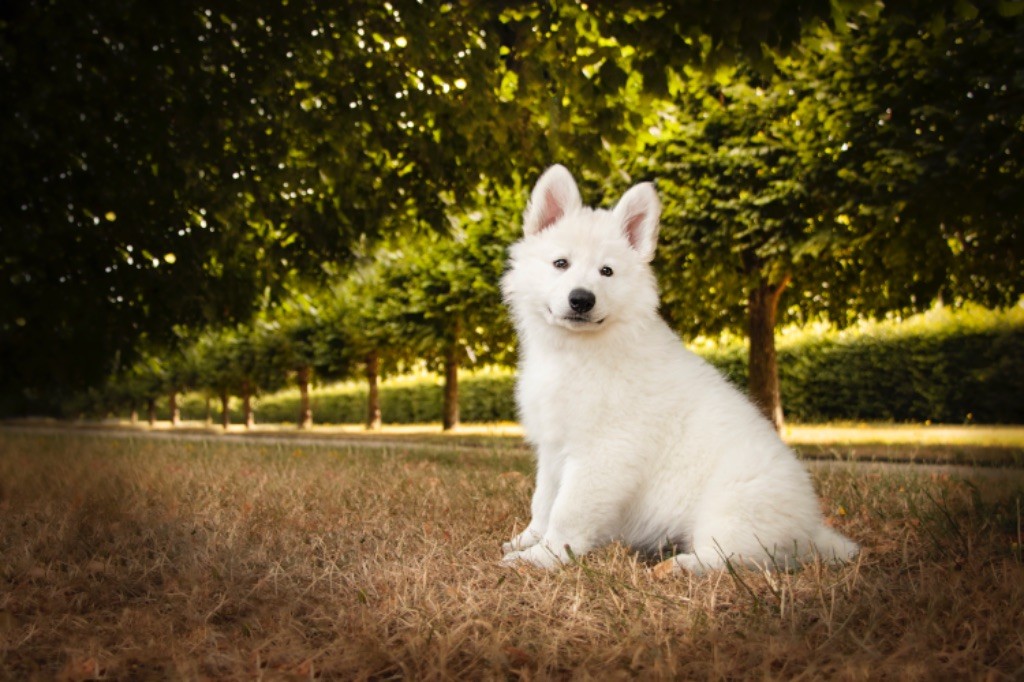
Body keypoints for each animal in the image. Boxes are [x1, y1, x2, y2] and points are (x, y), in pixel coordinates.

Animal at [495, 165, 856, 573]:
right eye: (560, 263)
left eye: (607, 271)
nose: (582, 300)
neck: (578, 351)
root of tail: (812, 532)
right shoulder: (553, 447)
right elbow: (543, 500)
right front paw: (527, 539)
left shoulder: (603, 452)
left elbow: (568, 510)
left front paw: (542, 557)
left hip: (730, 511)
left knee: (728, 558)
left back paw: (674, 566)